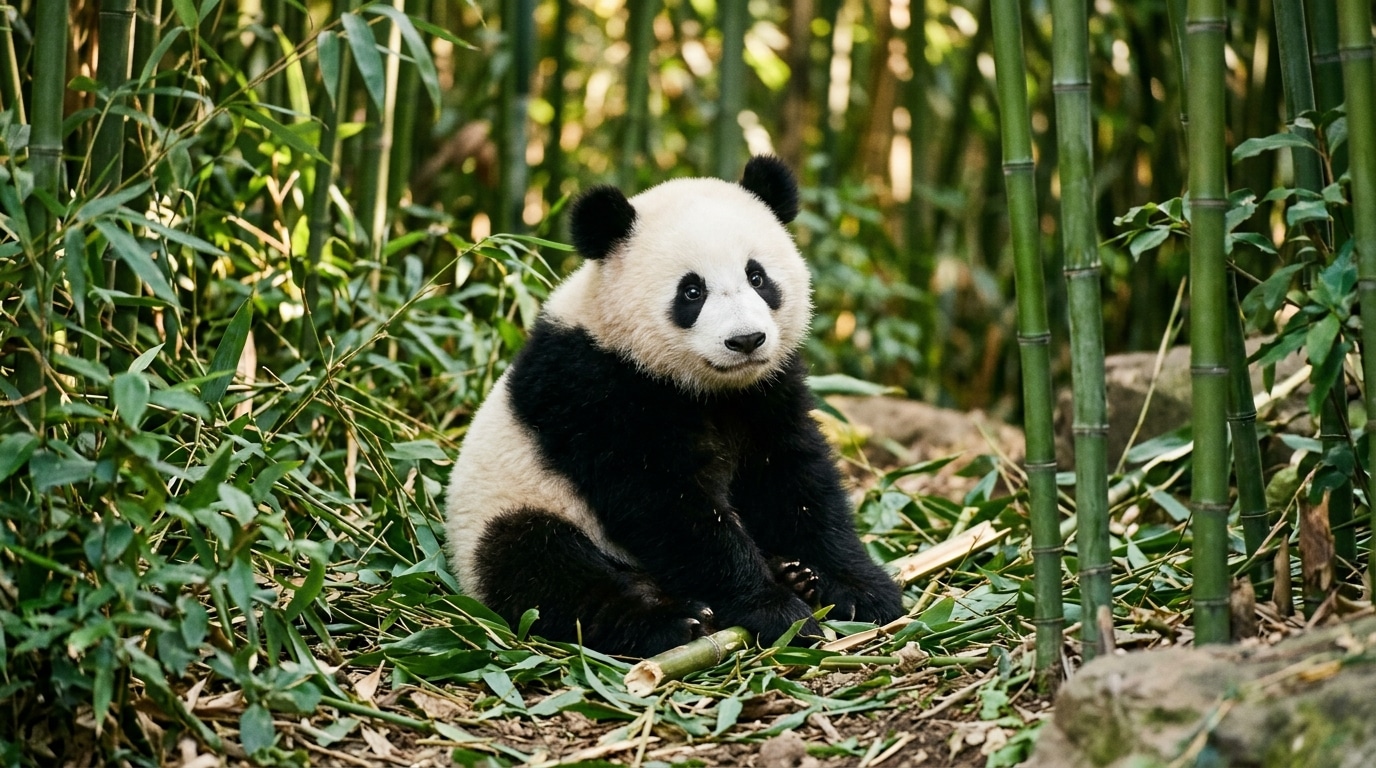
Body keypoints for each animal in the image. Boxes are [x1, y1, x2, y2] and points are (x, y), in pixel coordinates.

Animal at [445, 156, 904, 657]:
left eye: (757, 277)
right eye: (692, 291)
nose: (746, 340)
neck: (708, 387)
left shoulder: (768, 390)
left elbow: (794, 482)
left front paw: (863, 590)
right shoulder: (595, 390)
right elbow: (671, 508)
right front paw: (777, 612)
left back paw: (792, 573)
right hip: (512, 508)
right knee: (543, 566)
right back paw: (671, 619)